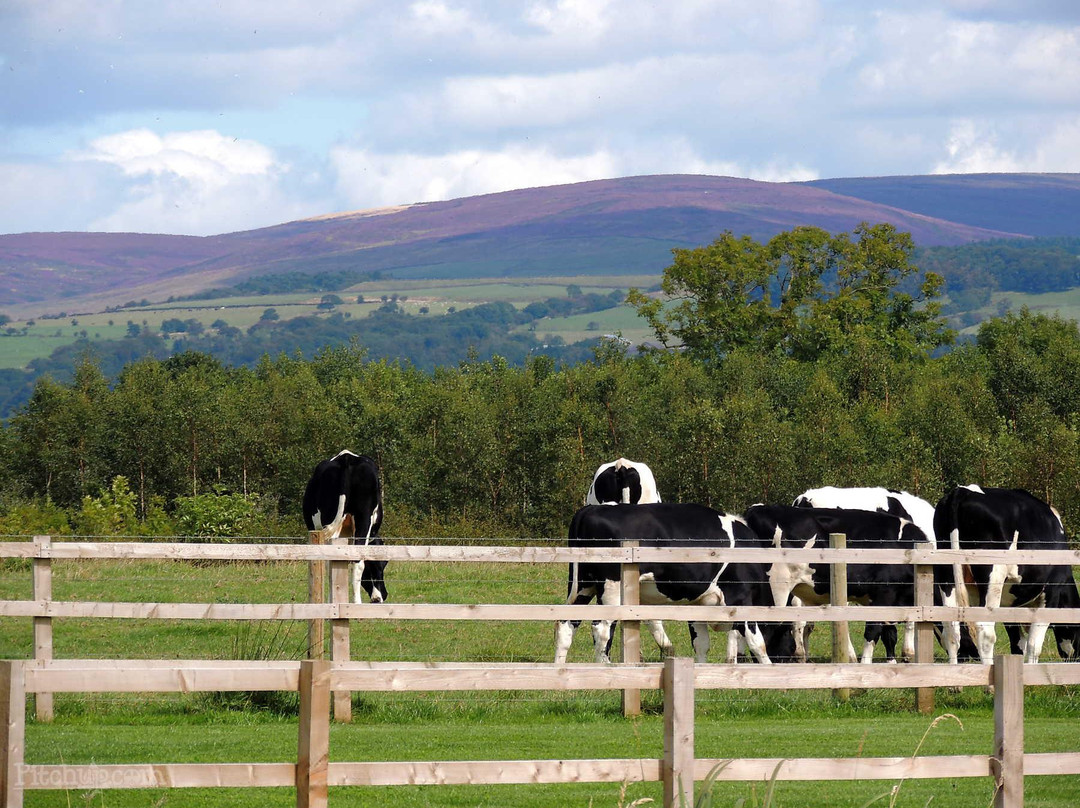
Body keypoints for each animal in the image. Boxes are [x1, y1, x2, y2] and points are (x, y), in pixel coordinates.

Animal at [302, 451, 386, 604]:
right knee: (357, 562)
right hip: (362, 519)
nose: (381, 597)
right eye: (379, 566)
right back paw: (356, 602)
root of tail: (347, 458)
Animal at [557, 501, 794, 665]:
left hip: (583, 585)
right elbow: (757, 642)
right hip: (611, 588)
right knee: (601, 628)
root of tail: (591, 509)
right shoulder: (740, 599)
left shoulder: (697, 604)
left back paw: (560, 671)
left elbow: (701, 643)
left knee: (566, 623)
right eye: (790, 642)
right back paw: (604, 668)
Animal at [928, 486, 1080, 661]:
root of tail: (963, 491)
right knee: (985, 632)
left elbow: (1019, 645)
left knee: (951, 630)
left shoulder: (1009, 604)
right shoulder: (1051, 591)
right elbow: (1034, 645)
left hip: (945, 574)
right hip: (993, 576)